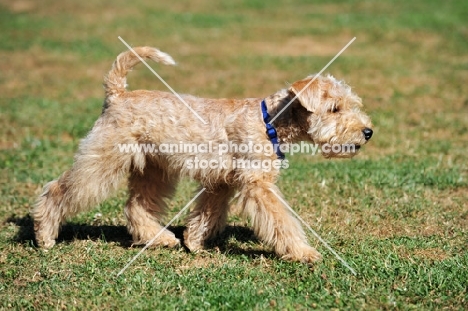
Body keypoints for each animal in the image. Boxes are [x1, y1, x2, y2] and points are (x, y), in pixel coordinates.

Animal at [32, 46, 372, 264]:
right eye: (335, 108)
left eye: (352, 103)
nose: (367, 132)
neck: (269, 121)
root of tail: (117, 94)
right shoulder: (257, 185)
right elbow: (281, 221)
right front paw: (304, 253)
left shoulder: (221, 181)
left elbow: (207, 213)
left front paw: (193, 243)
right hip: (102, 163)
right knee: (57, 190)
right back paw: (45, 237)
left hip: (154, 171)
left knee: (136, 206)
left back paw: (162, 239)